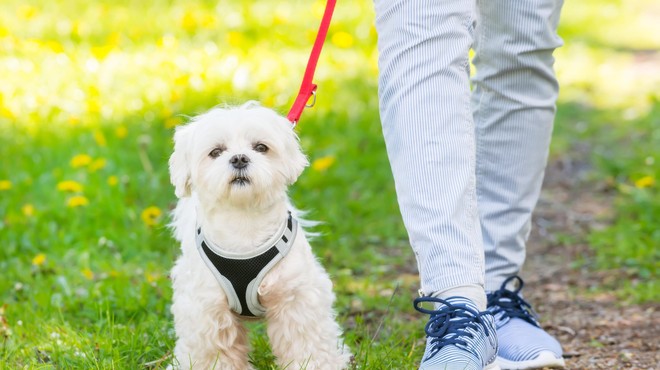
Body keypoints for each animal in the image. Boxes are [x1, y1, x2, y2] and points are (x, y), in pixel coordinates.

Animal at [168, 102, 350, 370]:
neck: (244, 223)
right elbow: (214, 351)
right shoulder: (207, 308)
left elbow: (306, 344)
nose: (239, 158)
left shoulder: (296, 298)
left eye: (261, 147)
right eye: (216, 152)